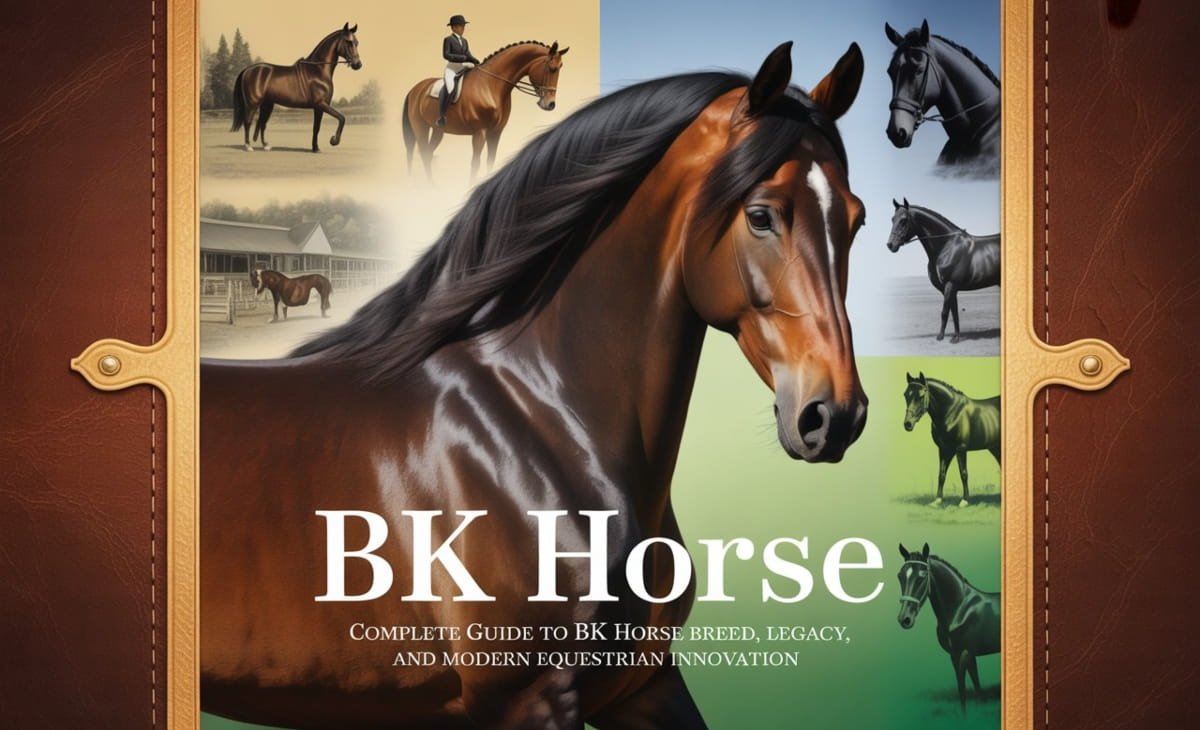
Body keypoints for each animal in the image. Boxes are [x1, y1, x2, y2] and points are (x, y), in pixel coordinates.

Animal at [231, 23, 363, 153]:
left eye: (357, 42)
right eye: (348, 42)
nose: (358, 64)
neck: (318, 71)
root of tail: (247, 70)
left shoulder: (319, 107)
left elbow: (317, 127)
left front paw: (316, 148)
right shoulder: (321, 104)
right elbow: (341, 118)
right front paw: (334, 140)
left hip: (267, 104)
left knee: (262, 122)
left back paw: (266, 146)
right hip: (253, 103)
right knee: (248, 122)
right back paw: (248, 146)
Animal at [402, 41, 568, 182]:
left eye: (560, 68)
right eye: (552, 69)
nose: (550, 105)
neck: (490, 86)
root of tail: (414, 90)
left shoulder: (496, 133)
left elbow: (490, 162)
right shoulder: (479, 133)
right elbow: (475, 163)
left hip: (438, 130)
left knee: (428, 153)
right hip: (421, 128)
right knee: (424, 152)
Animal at [886, 198, 999, 343]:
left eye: (904, 220)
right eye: (892, 219)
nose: (890, 245)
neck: (947, 247)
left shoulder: (950, 285)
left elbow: (945, 312)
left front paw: (941, 336)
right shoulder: (948, 289)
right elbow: (953, 311)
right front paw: (956, 337)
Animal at [896, 543, 1000, 711]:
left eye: (922, 576)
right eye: (900, 575)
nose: (905, 619)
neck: (961, 609)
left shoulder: (963, 655)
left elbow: (962, 691)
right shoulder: (961, 655)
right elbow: (977, 689)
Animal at [902, 372, 1000, 507]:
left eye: (921, 396)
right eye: (906, 395)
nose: (908, 424)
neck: (952, 412)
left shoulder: (961, 449)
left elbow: (963, 473)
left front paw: (964, 500)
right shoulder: (944, 449)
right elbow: (941, 474)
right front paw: (937, 501)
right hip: (995, 448)